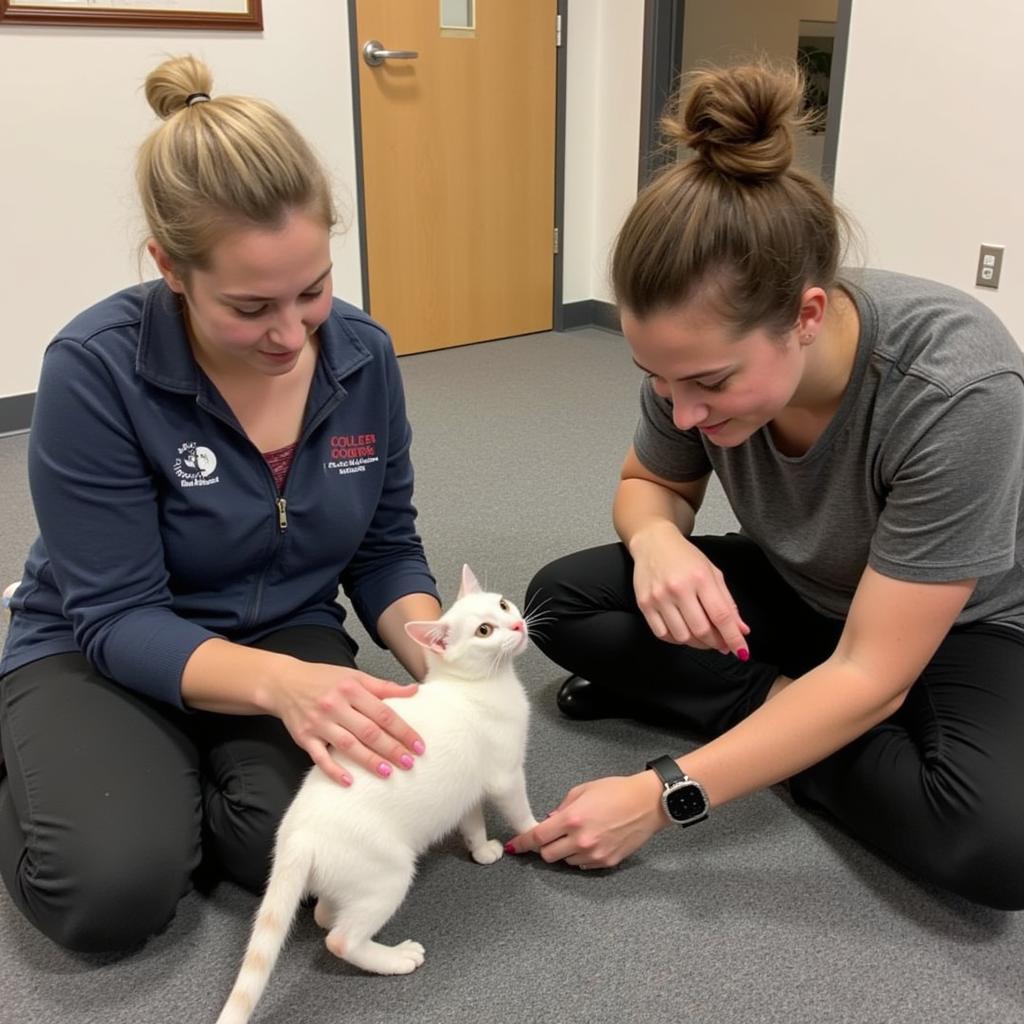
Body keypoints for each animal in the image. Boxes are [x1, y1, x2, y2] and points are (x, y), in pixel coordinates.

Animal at [212, 565, 540, 1024]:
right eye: (484, 630)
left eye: (503, 605)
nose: (517, 625)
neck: (473, 687)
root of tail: (297, 836)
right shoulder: (504, 776)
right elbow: (519, 811)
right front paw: (538, 832)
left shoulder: (469, 788)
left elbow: (472, 821)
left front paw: (481, 850)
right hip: (389, 874)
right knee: (340, 939)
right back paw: (394, 958)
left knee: (325, 913)